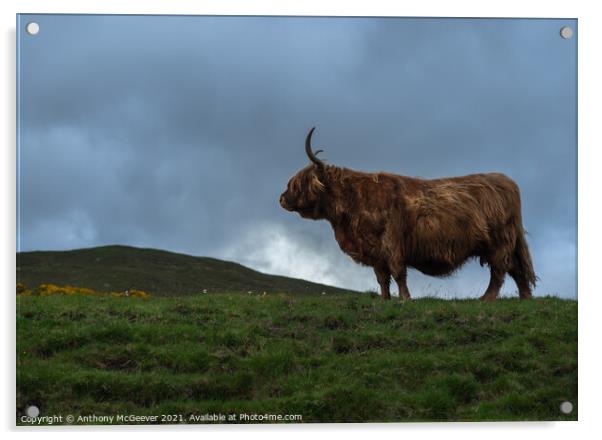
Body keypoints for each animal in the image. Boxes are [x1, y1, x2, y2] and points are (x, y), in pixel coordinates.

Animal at [278, 125, 536, 300]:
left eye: (297, 183)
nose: (281, 199)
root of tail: (507, 180)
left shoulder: (392, 244)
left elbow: (398, 273)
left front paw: (405, 299)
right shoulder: (375, 251)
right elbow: (382, 278)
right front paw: (384, 300)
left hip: (499, 242)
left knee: (500, 270)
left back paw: (486, 299)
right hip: (507, 242)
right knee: (516, 269)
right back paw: (524, 298)